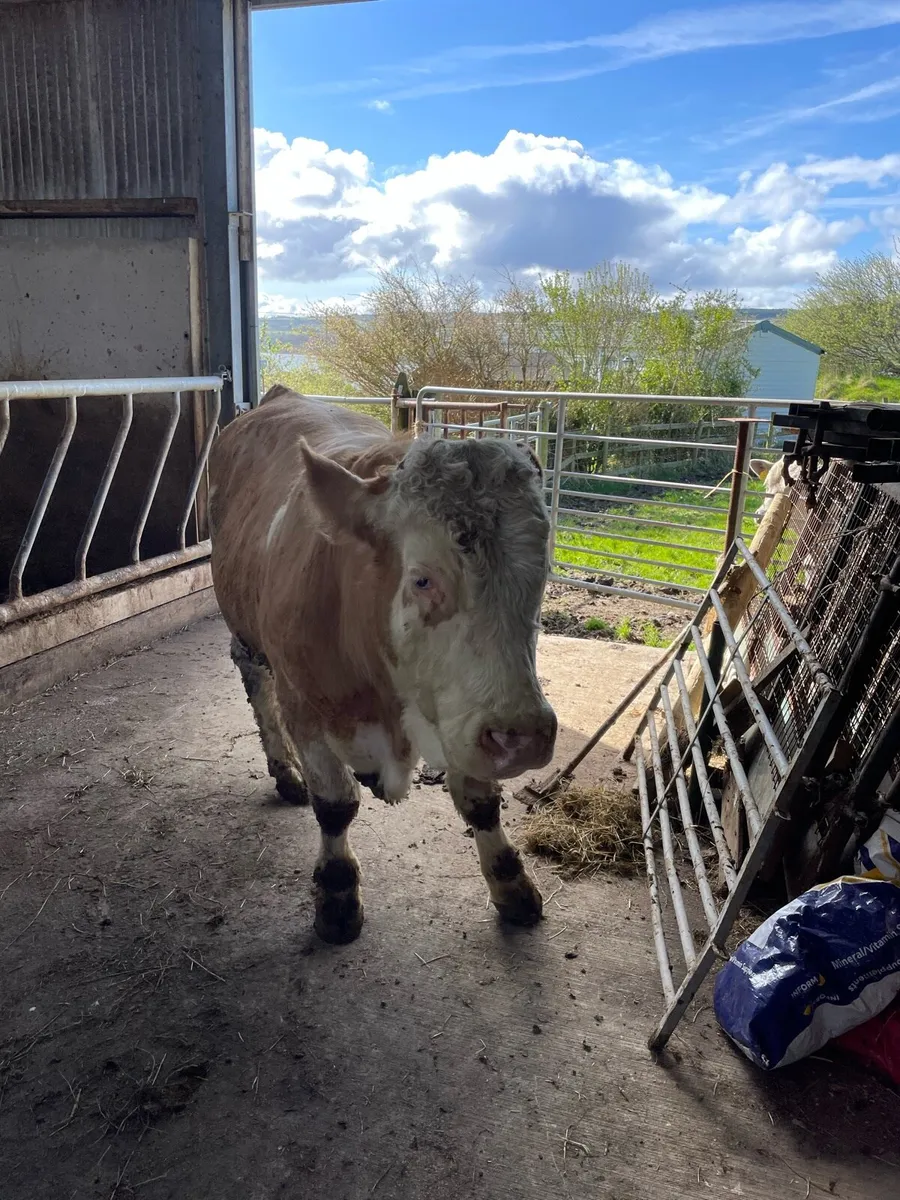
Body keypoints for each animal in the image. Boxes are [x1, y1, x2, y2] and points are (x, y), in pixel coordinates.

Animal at [208, 385, 558, 944]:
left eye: (542, 569)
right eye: (422, 579)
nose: (522, 738)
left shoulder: (461, 708)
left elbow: (480, 800)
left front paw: (512, 884)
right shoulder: (304, 703)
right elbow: (335, 805)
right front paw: (336, 896)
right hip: (244, 631)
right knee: (255, 683)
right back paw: (284, 773)